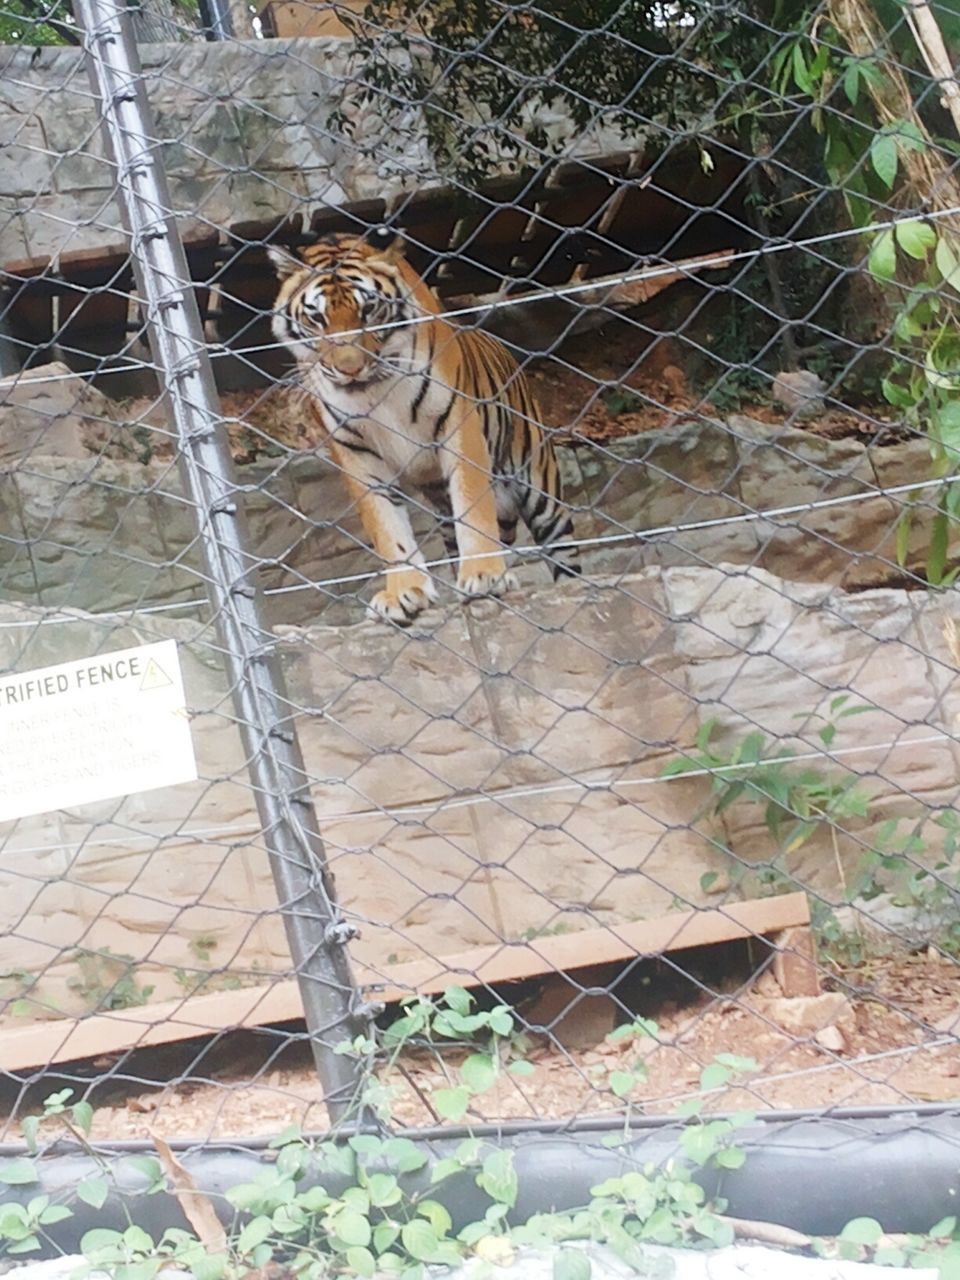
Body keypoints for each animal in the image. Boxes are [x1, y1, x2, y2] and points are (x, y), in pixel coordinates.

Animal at [268, 235, 578, 629]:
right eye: (316, 317)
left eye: (369, 311)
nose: (349, 369)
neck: (374, 391)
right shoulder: (355, 452)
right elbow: (387, 526)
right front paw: (403, 593)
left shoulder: (459, 426)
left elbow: (473, 506)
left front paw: (484, 575)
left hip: (540, 487)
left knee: (564, 553)